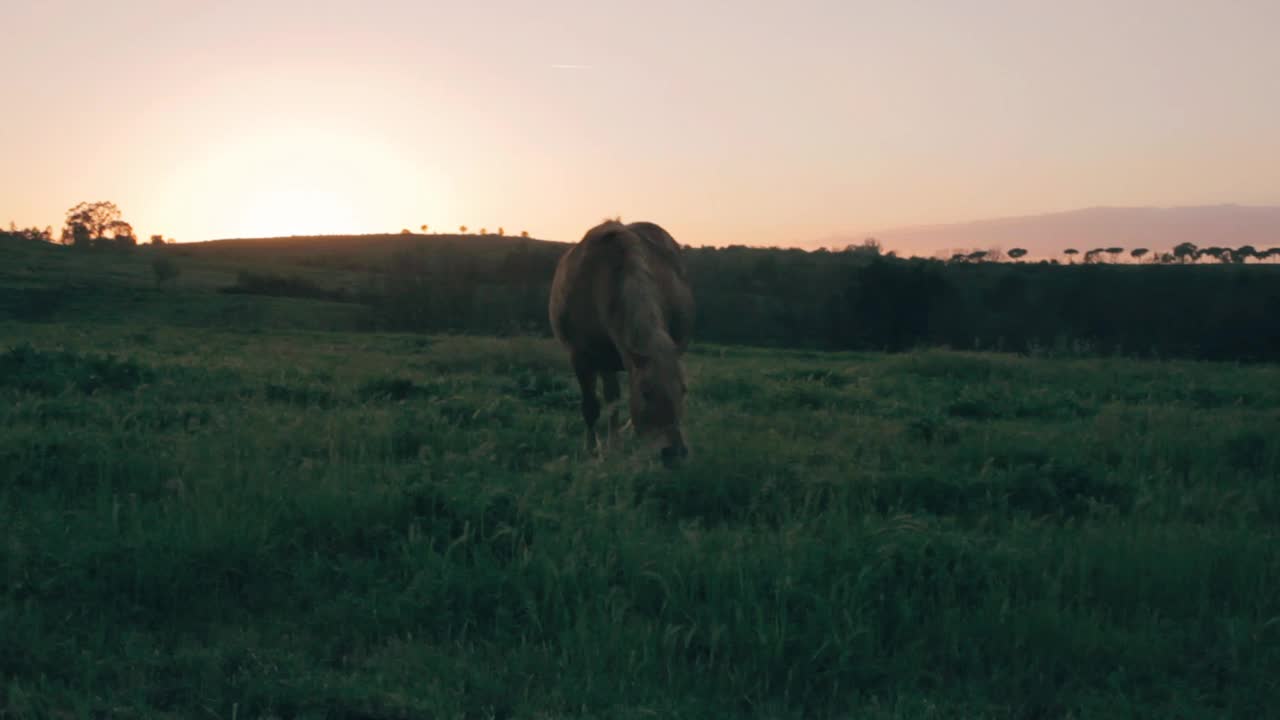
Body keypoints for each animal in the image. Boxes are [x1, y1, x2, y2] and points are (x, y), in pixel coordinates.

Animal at [547, 220, 696, 466]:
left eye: (684, 390)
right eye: (646, 392)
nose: (674, 453)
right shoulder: (582, 357)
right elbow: (592, 407)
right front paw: (593, 450)